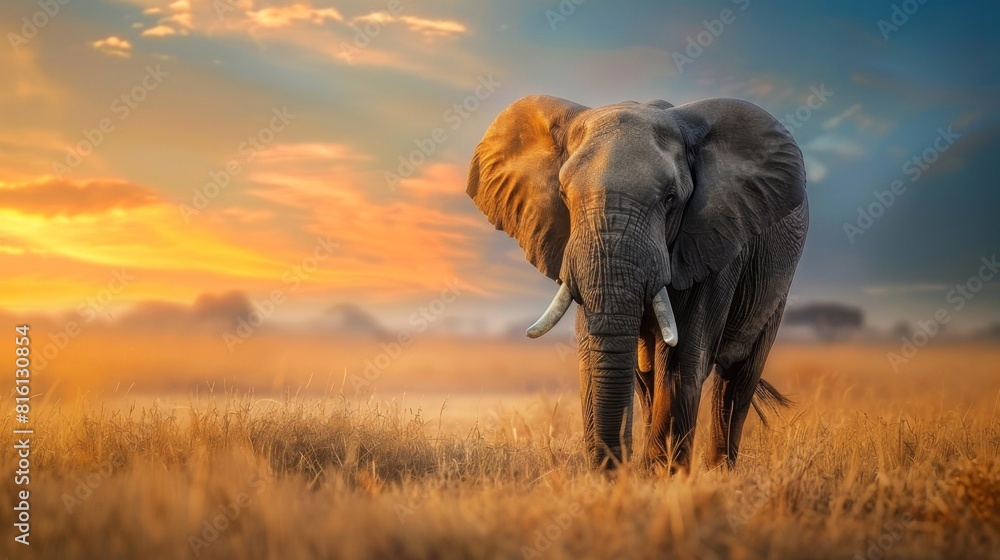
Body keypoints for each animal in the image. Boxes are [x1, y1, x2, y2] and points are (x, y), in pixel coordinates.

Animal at [466, 95, 808, 472]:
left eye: (671, 198)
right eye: (563, 195)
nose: (617, 469)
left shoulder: (712, 241)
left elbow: (680, 365)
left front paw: (665, 476)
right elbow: (596, 355)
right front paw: (639, 474)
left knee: (737, 380)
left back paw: (720, 471)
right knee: (649, 380)